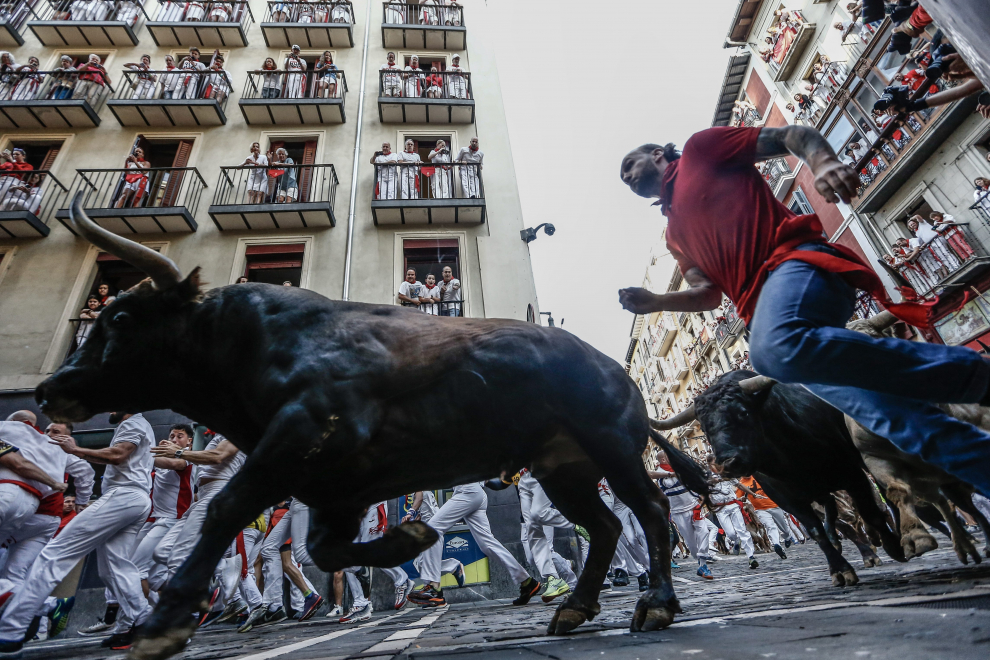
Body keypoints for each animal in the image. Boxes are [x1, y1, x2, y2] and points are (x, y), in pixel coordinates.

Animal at [36, 197, 704, 660]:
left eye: (123, 316)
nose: (49, 390)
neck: (251, 344)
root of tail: (613, 367)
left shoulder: (298, 434)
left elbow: (226, 508)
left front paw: (164, 622)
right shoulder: (337, 489)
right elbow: (326, 549)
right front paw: (410, 538)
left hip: (611, 448)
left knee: (649, 511)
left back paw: (655, 604)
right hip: (564, 469)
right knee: (607, 525)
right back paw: (574, 609)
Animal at [656, 368, 912, 584]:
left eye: (743, 412)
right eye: (705, 427)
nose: (726, 463)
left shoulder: (852, 473)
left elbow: (870, 512)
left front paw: (892, 546)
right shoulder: (788, 499)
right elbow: (816, 530)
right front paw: (840, 570)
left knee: (878, 500)